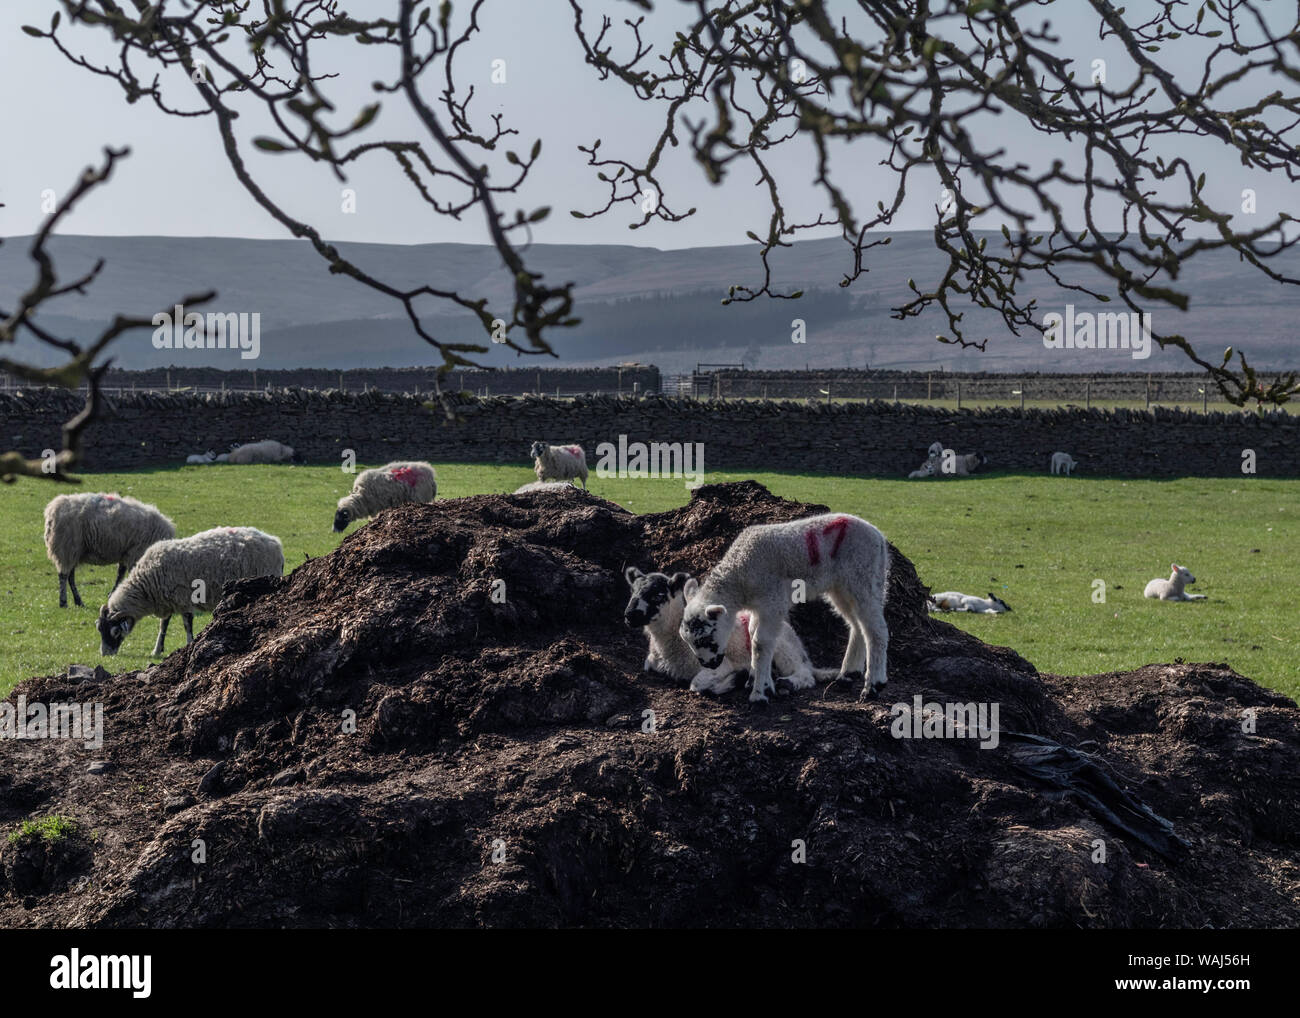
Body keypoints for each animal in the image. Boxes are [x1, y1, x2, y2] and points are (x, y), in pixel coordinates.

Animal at [44, 491, 176, 608]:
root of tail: (53, 509)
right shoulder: (135, 553)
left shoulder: (126, 553)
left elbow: (120, 574)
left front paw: (112, 594)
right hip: (66, 547)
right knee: (63, 576)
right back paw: (63, 602)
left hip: (74, 551)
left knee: (70, 577)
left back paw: (78, 601)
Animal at [97, 525, 286, 660]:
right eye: (99, 628)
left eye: (115, 632)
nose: (105, 654)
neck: (146, 585)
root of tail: (275, 544)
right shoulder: (167, 600)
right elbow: (163, 626)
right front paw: (157, 650)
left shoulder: (184, 599)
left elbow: (187, 624)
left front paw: (189, 645)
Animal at [618, 569, 832, 696]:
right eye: (632, 591)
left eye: (658, 595)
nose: (629, 616)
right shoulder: (651, 661)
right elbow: (647, 666)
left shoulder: (719, 664)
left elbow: (697, 684)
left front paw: (735, 679)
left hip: (782, 647)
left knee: (805, 674)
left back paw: (787, 683)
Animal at [676, 514, 889, 707]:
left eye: (705, 638)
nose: (708, 664)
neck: (739, 576)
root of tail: (879, 536)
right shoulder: (758, 607)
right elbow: (753, 634)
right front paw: (757, 681)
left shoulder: (773, 601)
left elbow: (760, 643)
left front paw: (759, 694)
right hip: (842, 586)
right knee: (857, 624)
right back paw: (847, 675)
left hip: (863, 576)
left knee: (876, 630)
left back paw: (873, 686)